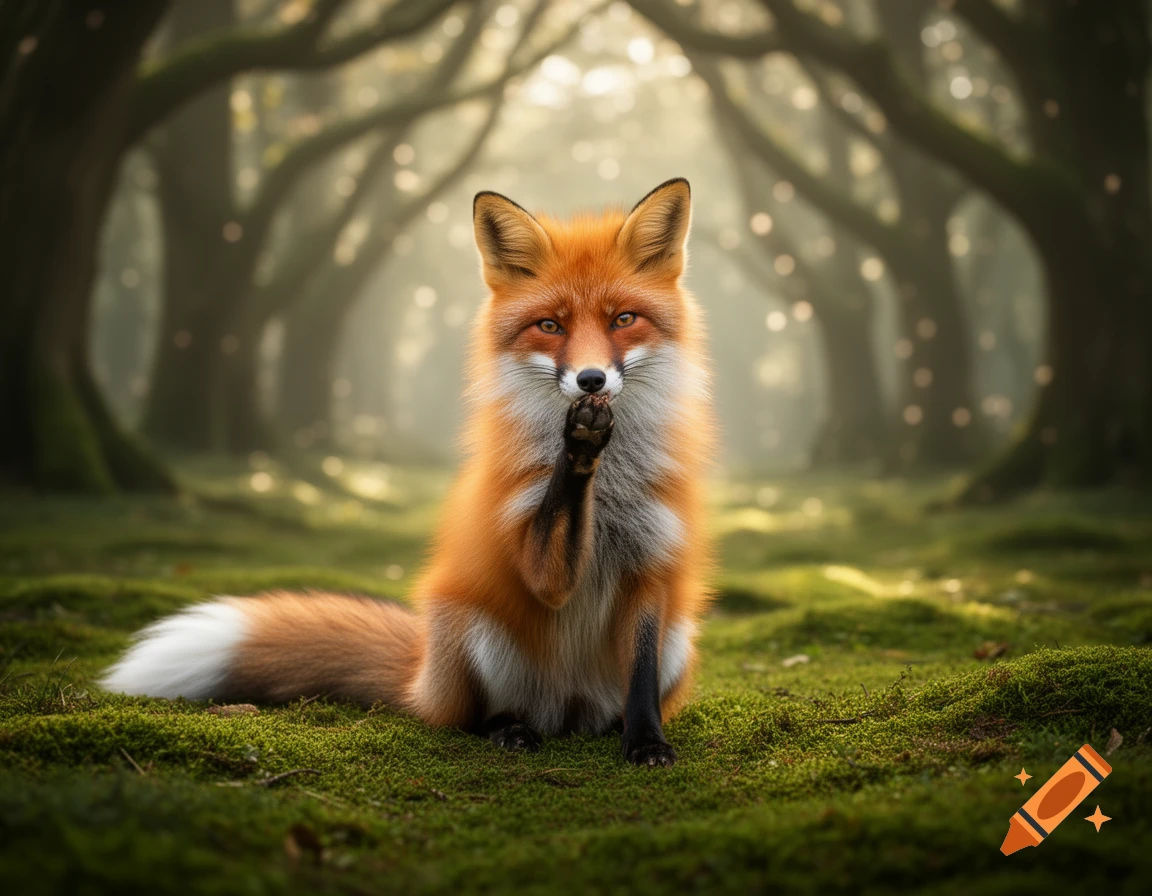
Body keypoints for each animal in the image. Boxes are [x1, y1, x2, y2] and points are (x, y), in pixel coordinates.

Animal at [102, 177, 716, 766]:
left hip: (679, 639)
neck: (607, 495)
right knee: (469, 717)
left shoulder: (652, 565)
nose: (591, 381)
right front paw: (578, 441)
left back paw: (605, 727)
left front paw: (646, 743)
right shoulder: (541, 568)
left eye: (623, 320)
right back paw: (508, 731)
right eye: (549, 326)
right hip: (472, 631)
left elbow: (640, 681)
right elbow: (551, 544)